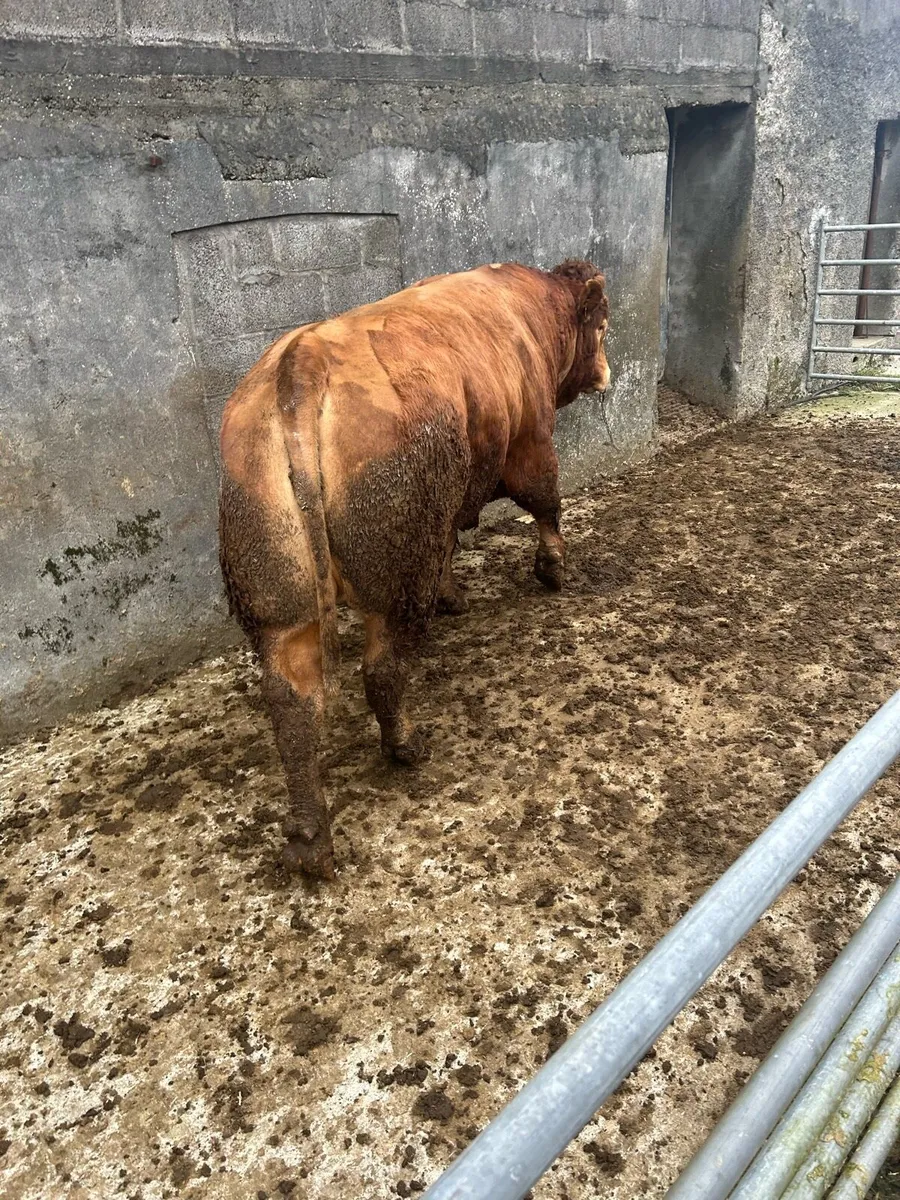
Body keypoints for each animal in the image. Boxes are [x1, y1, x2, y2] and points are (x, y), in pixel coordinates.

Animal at [218, 259, 610, 879]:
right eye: (602, 324)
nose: (605, 374)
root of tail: (302, 362)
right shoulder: (529, 439)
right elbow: (546, 501)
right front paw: (553, 570)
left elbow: (453, 542)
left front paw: (455, 595)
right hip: (398, 579)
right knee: (382, 670)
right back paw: (405, 745)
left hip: (279, 601)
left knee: (291, 702)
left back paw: (309, 841)